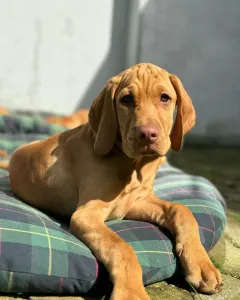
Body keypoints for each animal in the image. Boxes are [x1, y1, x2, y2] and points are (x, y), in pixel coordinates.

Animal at [9, 63, 223, 298]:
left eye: (165, 98)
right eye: (126, 99)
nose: (147, 134)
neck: (132, 165)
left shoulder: (135, 203)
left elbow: (181, 209)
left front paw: (201, 265)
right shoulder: (86, 214)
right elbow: (121, 246)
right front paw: (132, 293)